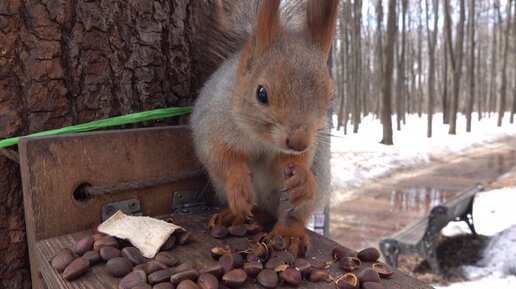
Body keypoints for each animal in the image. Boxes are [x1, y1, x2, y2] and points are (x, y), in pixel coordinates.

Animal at [191, 0, 336, 256]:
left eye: (330, 96)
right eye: (261, 93)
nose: (298, 143)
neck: (262, 138)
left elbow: (289, 163)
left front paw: (300, 174)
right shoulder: (210, 124)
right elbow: (219, 156)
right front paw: (238, 181)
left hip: (316, 176)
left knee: (292, 213)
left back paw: (289, 233)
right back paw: (236, 215)